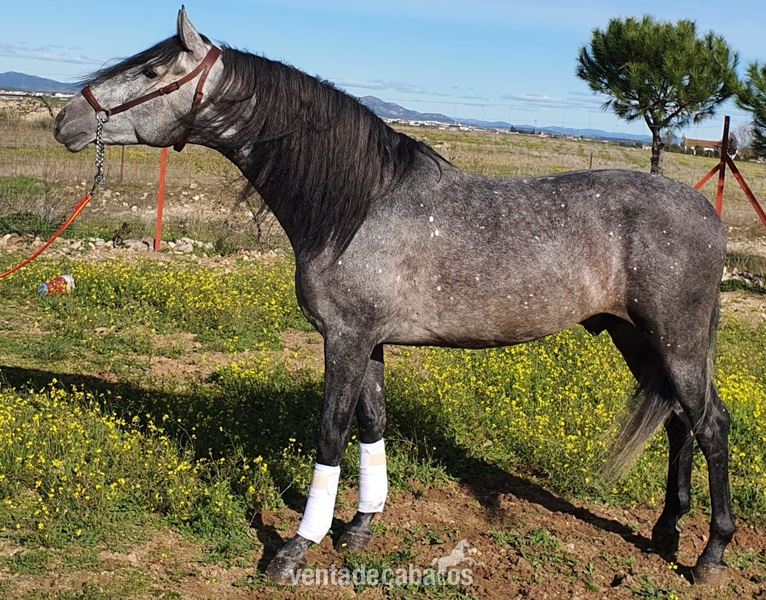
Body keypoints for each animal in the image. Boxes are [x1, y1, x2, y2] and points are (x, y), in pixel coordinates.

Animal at [54, 8, 734, 585]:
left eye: (151, 70)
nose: (66, 120)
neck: (358, 206)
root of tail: (706, 211)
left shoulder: (346, 339)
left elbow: (330, 431)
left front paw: (297, 547)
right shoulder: (369, 341)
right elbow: (372, 423)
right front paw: (360, 525)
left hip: (674, 341)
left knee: (710, 424)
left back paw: (710, 553)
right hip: (637, 338)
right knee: (679, 423)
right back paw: (666, 531)